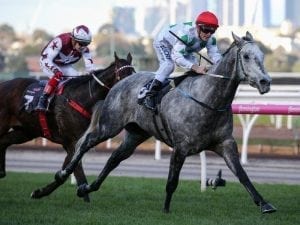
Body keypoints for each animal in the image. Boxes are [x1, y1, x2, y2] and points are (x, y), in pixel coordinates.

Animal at [0, 52, 134, 200]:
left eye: (134, 73)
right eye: (124, 75)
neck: (84, 98)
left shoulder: (76, 142)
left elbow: (68, 170)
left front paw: (42, 192)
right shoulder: (72, 142)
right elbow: (73, 170)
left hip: (26, 131)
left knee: (3, 141)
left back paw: (1, 172)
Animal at [55, 31, 276, 213]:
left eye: (262, 56)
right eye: (246, 56)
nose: (265, 82)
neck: (208, 99)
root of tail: (119, 83)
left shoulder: (225, 143)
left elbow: (242, 174)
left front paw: (264, 204)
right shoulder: (181, 147)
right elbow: (172, 181)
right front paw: (166, 210)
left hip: (136, 134)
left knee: (114, 159)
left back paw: (87, 187)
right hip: (109, 125)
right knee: (86, 142)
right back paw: (63, 173)